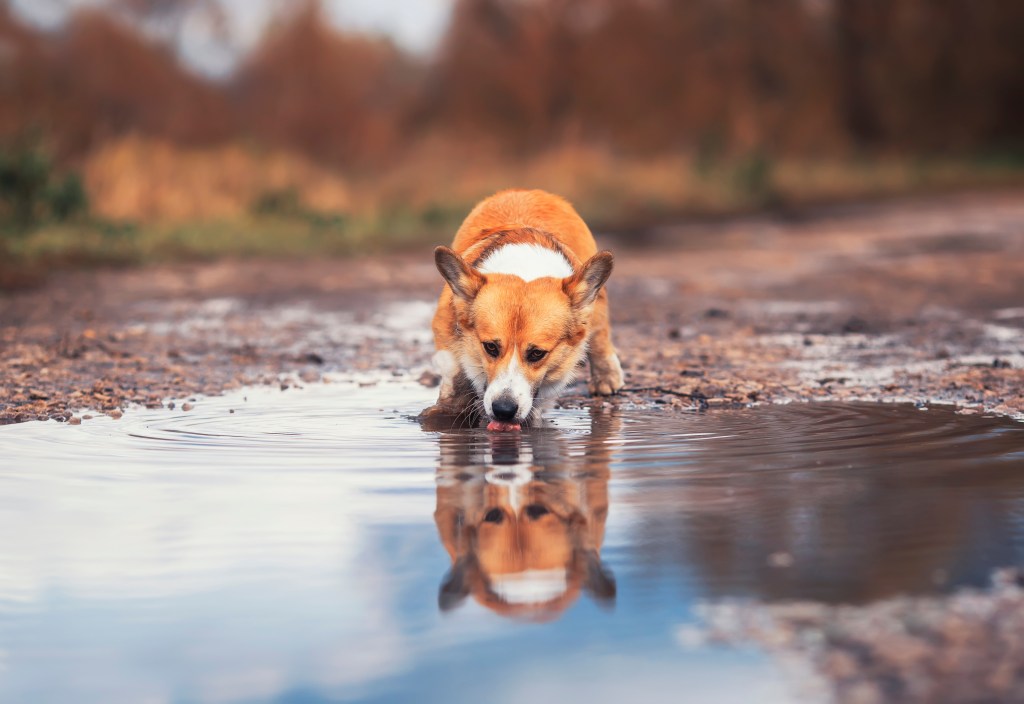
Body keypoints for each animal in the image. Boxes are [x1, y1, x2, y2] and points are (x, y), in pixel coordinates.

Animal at [425, 188, 622, 429]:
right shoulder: (445, 326)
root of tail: (528, 191)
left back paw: (607, 377)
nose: (503, 410)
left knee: (599, 335)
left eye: (537, 354)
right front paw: (449, 410)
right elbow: (456, 373)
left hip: (597, 303)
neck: (525, 269)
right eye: (490, 347)